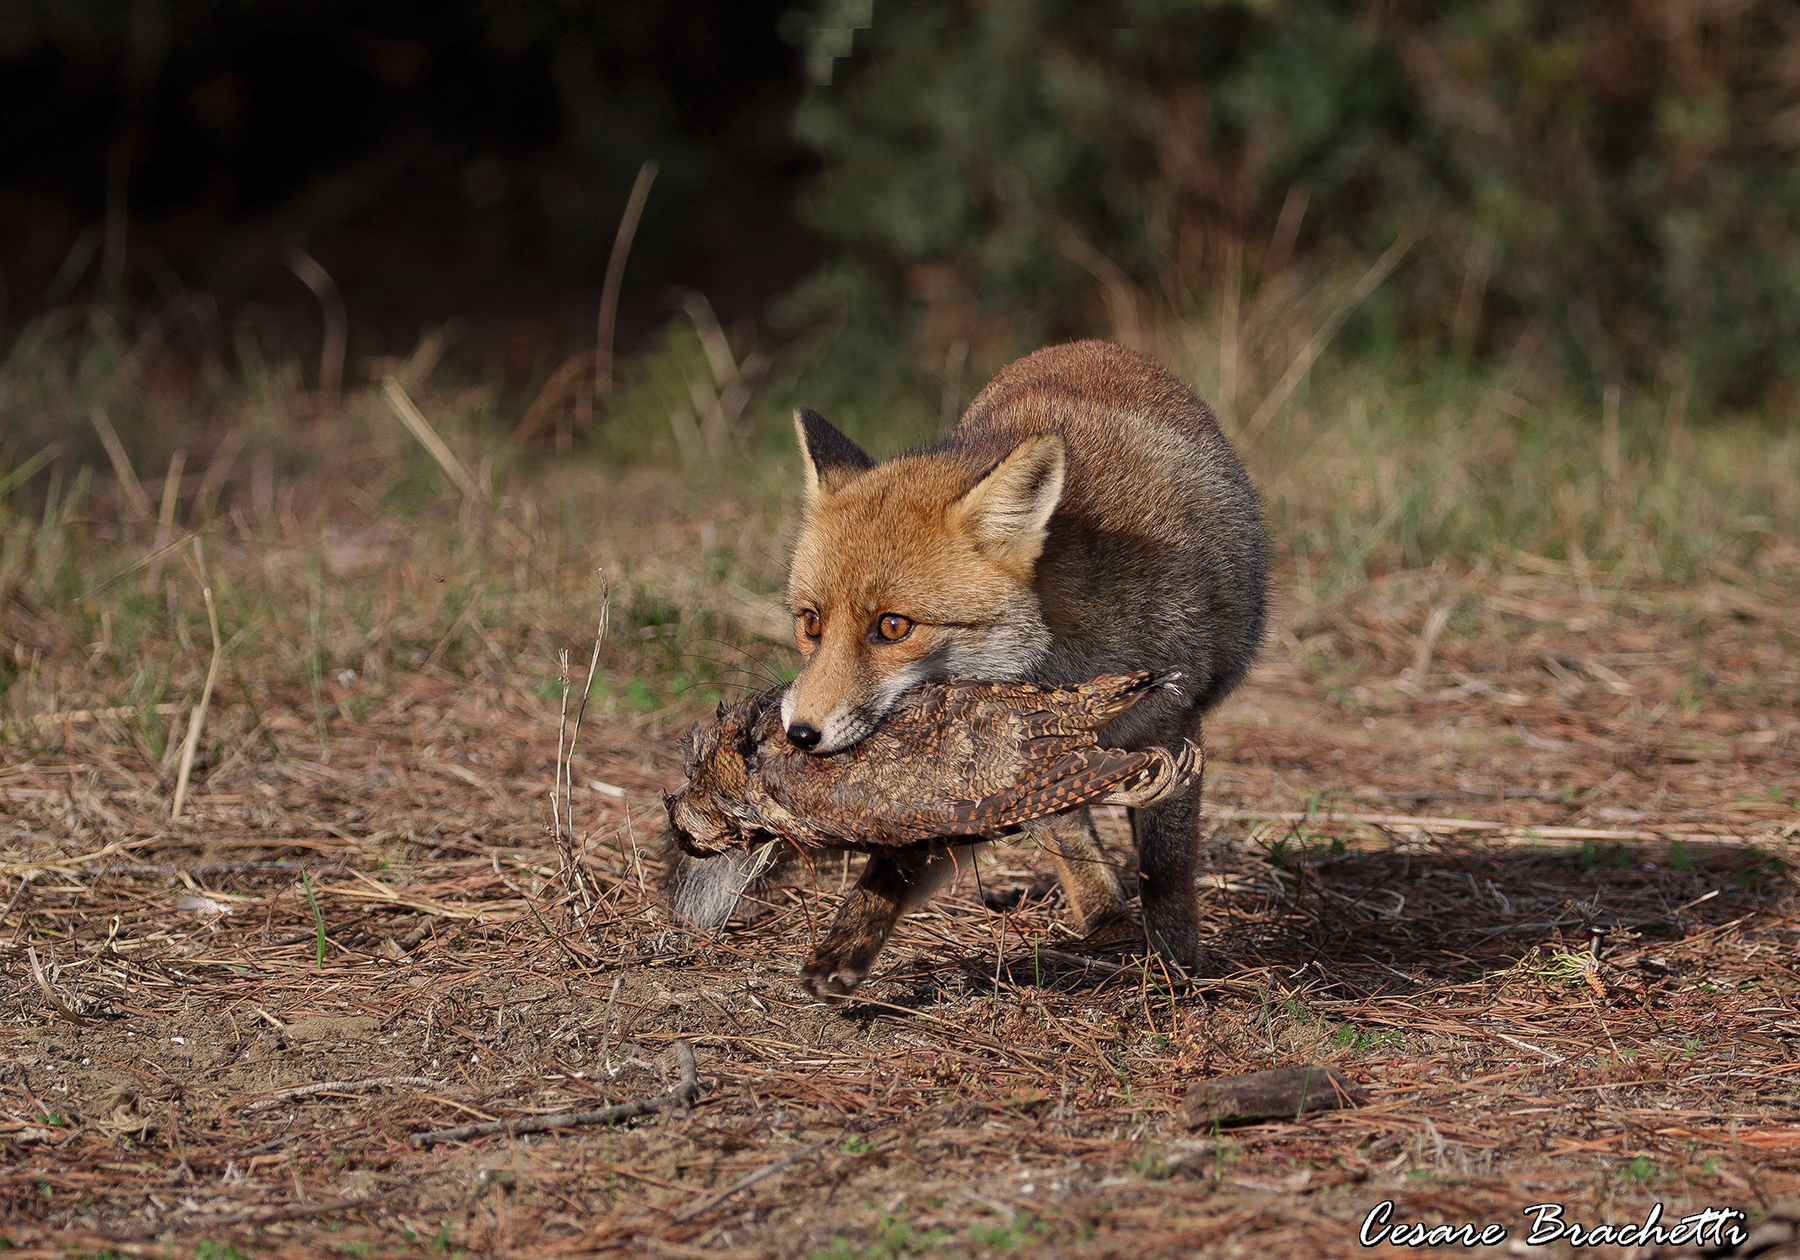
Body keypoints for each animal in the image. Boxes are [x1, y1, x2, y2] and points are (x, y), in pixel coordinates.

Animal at [668, 339, 1267, 998]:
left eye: (893, 627)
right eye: (810, 622)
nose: (798, 733)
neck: (1073, 648)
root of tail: (1084, 346)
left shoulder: (1174, 726)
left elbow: (1167, 871)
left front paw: (1174, 965)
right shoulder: (991, 780)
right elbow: (905, 865)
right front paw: (850, 943)